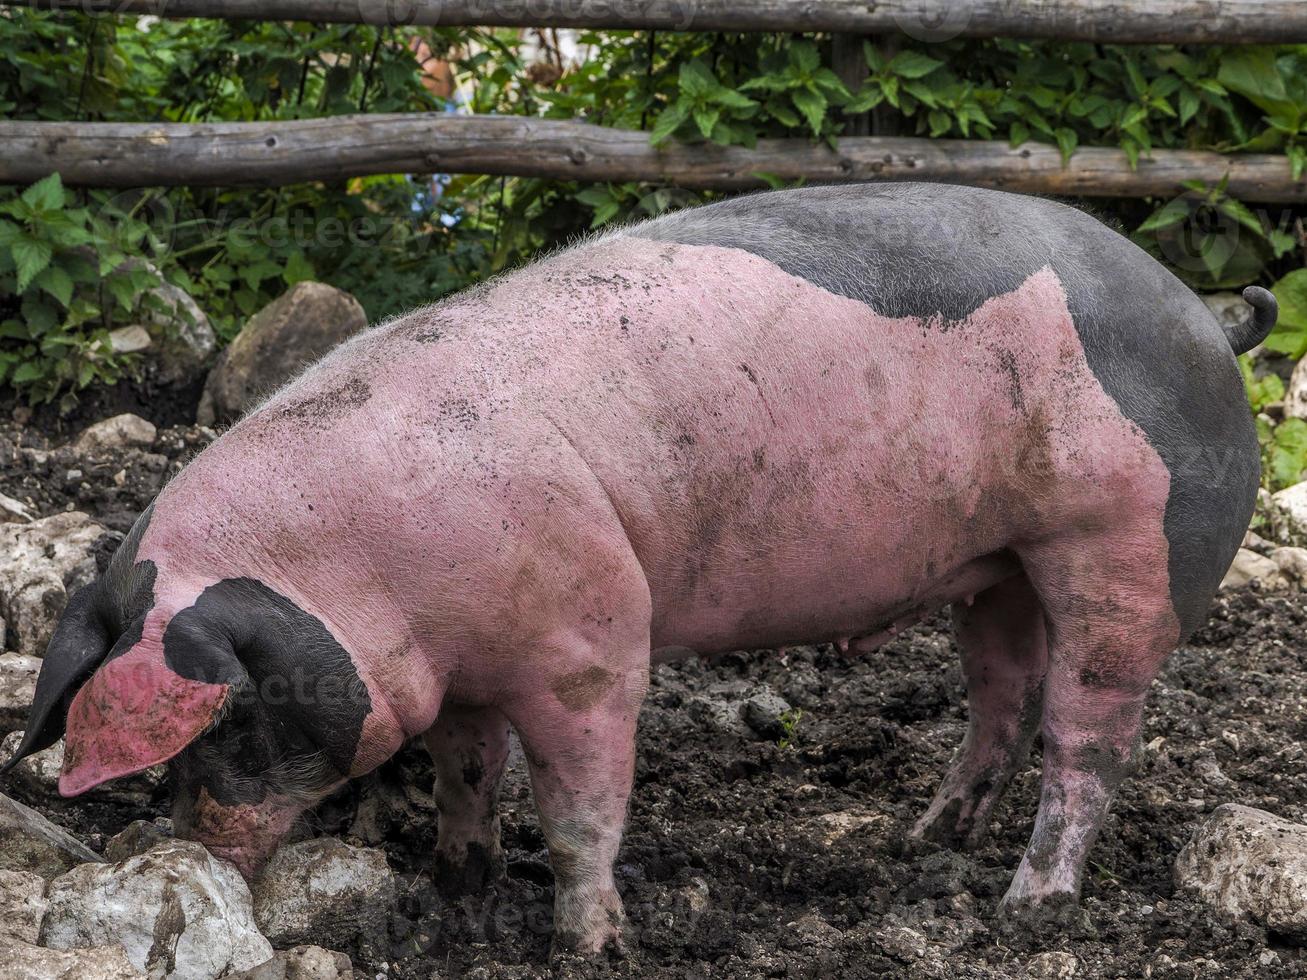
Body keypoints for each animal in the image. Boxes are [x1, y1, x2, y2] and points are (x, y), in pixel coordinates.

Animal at [0, 182, 1275, 951]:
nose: (186, 850)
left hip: (1122, 549)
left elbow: (581, 797)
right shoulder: (468, 664)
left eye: (229, 717)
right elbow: (468, 771)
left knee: (1086, 731)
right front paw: (457, 893)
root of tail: (1212, 321)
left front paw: (587, 941)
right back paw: (919, 843)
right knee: (999, 693)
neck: (360, 569)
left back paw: (1026, 903)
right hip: (997, 560)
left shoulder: (588, 634)